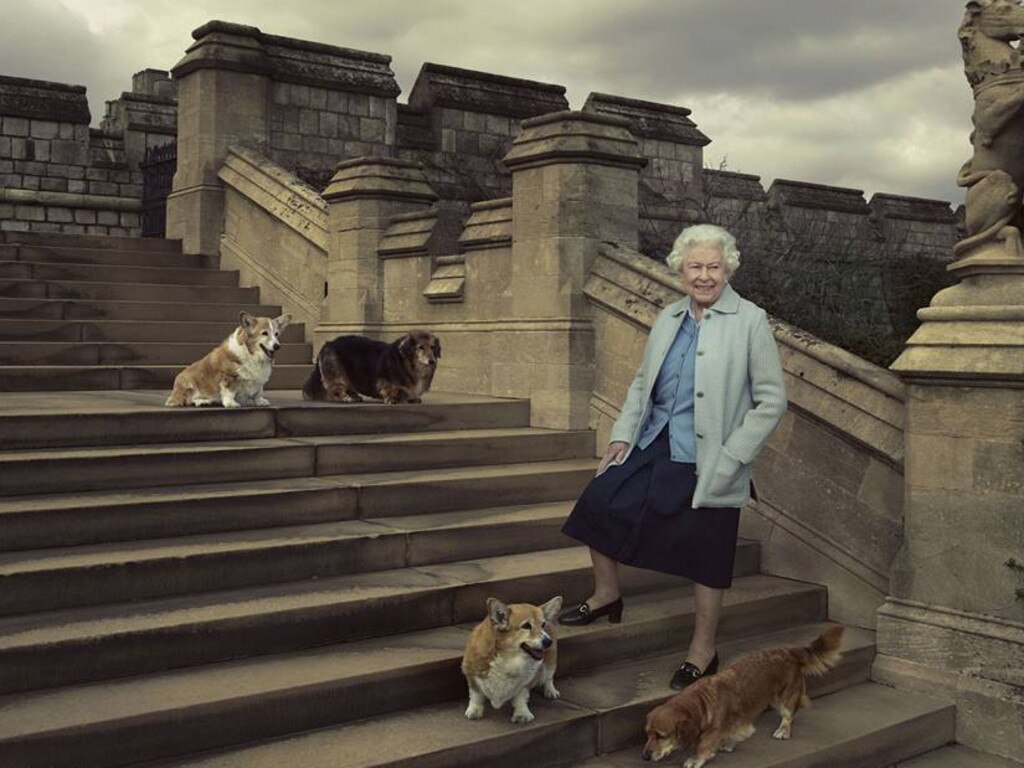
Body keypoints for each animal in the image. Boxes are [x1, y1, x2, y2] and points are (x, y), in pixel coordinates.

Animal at [299, 329, 438, 405]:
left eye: (432, 347)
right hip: (337, 374)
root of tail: (328, 344)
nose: (432, 361)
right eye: (420, 347)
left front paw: (413, 398)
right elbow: (391, 390)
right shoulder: (385, 383)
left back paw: (355, 396)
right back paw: (346, 398)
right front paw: (392, 399)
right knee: (336, 389)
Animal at [638, 626, 847, 765]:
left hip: (783, 699)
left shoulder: (715, 729)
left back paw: (783, 730)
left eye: (661, 736)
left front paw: (696, 759)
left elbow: (704, 745)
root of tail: (789, 651)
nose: (644, 756)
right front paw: (728, 744)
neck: (702, 702)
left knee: (789, 715)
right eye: (647, 734)